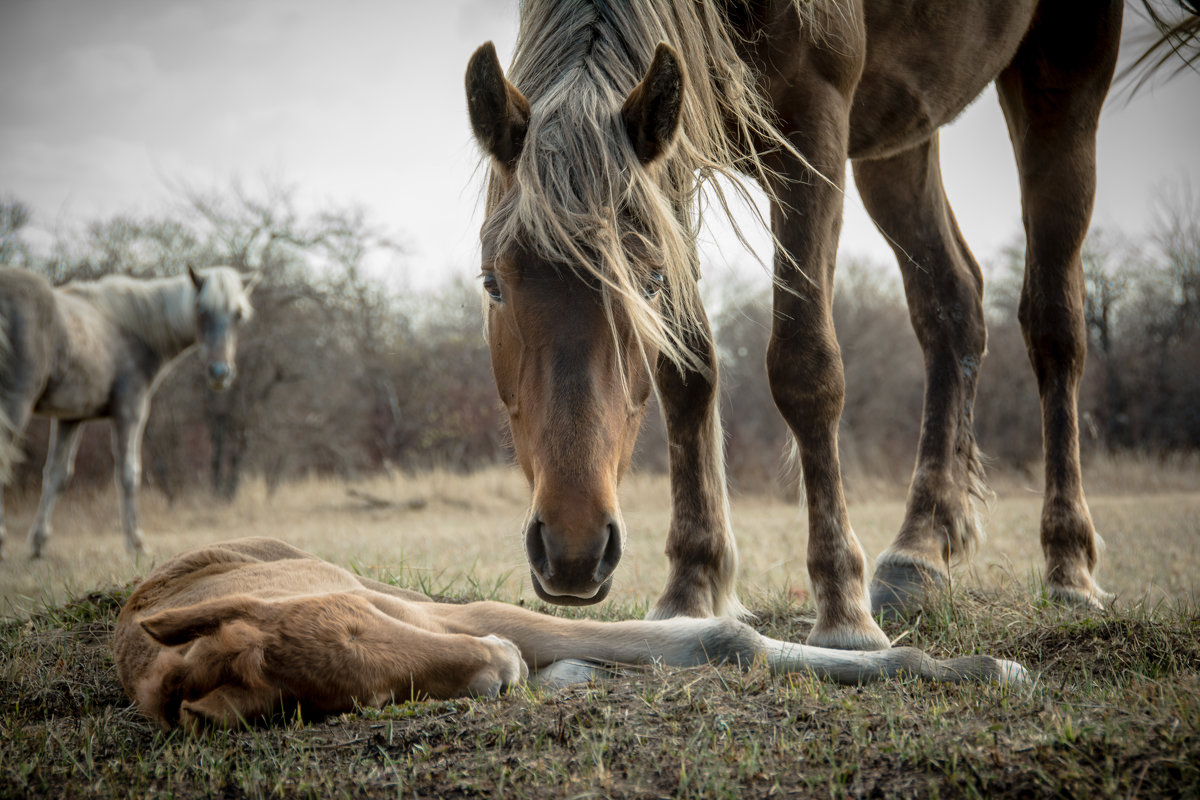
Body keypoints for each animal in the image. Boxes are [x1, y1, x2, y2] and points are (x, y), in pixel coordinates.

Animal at [0, 267, 258, 556]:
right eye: (202, 310)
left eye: (238, 315)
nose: (220, 373)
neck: (134, 329)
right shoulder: (130, 411)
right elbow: (129, 473)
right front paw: (137, 543)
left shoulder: (71, 417)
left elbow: (57, 474)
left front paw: (38, 542)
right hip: (16, 402)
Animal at [465, 1, 1123, 652]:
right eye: (492, 283)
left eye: (650, 283)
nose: (573, 549)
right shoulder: (677, 146)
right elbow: (687, 375)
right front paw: (691, 586)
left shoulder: (815, 125)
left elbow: (805, 367)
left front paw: (842, 606)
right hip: (900, 134)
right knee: (952, 306)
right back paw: (918, 556)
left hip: (1062, 78)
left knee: (1055, 325)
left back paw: (1069, 566)